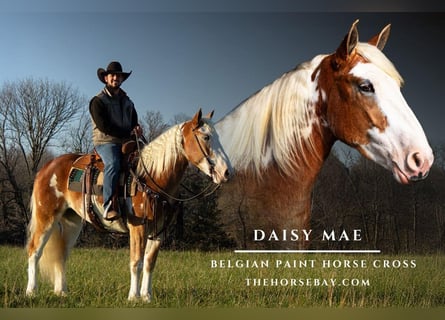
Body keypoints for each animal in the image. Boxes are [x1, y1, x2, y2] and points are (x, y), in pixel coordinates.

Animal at [25, 109, 231, 302]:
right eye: (206, 137)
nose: (226, 172)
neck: (151, 177)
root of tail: (47, 167)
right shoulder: (137, 227)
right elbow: (136, 262)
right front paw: (134, 296)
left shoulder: (158, 230)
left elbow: (149, 262)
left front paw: (147, 296)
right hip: (46, 217)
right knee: (35, 251)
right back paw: (31, 291)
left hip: (71, 222)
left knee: (61, 255)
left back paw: (62, 292)